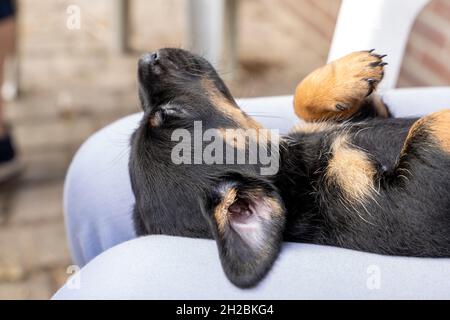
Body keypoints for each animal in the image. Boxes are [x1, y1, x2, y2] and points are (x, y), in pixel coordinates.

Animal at [130, 48, 450, 288]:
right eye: (171, 112)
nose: (145, 58)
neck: (303, 177)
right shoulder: (407, 202)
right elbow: (429, 125)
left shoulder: (371, 116)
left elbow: (300, 99)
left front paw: (351, 72)